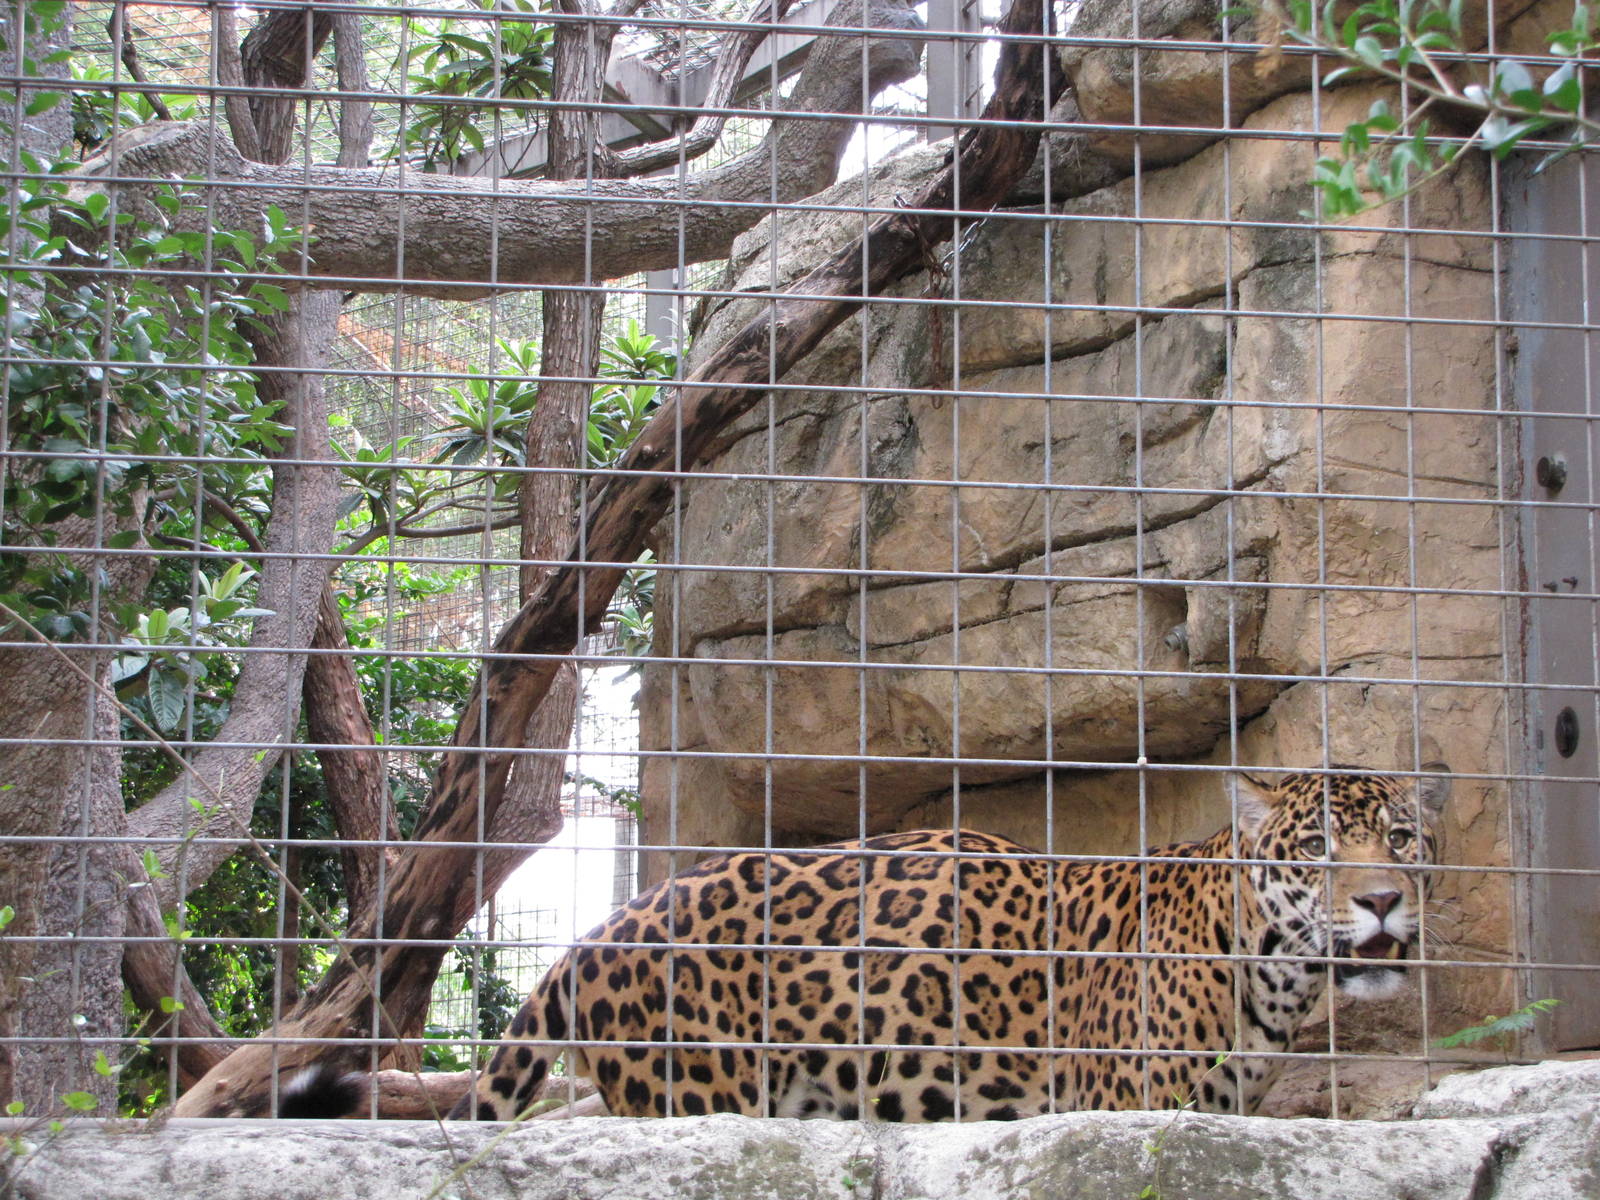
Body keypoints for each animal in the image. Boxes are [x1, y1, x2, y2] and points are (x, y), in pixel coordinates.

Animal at [442, 763, 1450, 1122]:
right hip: (692, 1096)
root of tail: (595, 931)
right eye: (1316, 850)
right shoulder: (1127, 1107)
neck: (1271, 970)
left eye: (1402, 839)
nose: (1382, 901)